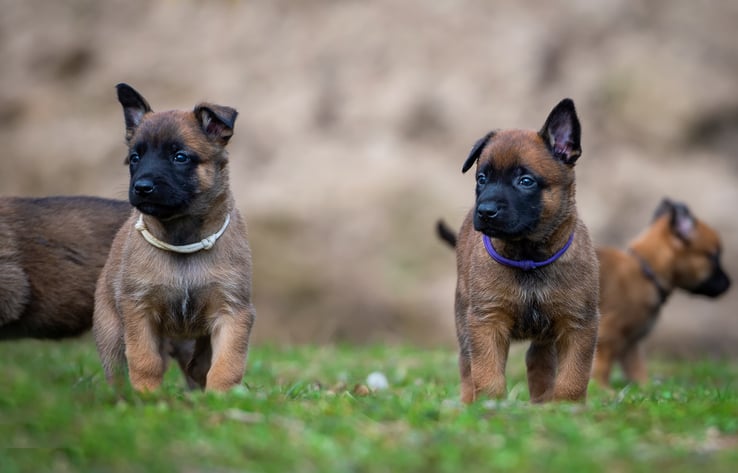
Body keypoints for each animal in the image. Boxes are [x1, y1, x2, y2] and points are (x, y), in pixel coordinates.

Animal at [92, 84, 256, 390]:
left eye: (179, 157)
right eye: (135, 158)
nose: (142, 187)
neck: (182, 241)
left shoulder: (232, 313)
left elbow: (226, 365)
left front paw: (221, 396)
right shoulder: (139, 311)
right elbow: (144, 360)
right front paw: (147, 395)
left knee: (197, 368)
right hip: (111, 333)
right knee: (118, 370)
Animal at [448, 99, 600, 402]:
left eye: (526, 181)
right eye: (482, 178)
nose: (485, 211)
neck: (528, 257)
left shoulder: (578, 324)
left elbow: (573, 377)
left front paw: (566, 406)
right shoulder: (487, 321)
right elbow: (486, 374)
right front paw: (490, 404)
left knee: (538, 360)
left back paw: (542, 402)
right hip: (463, 319)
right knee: (466, 366)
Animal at [588, 197, 728, 386]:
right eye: (713, 257)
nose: (729, 283)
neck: (646, 273)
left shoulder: (631, 345)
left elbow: (637, 370)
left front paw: (646, 388)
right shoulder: (608, 337)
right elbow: (601, 368)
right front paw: (604, 389)